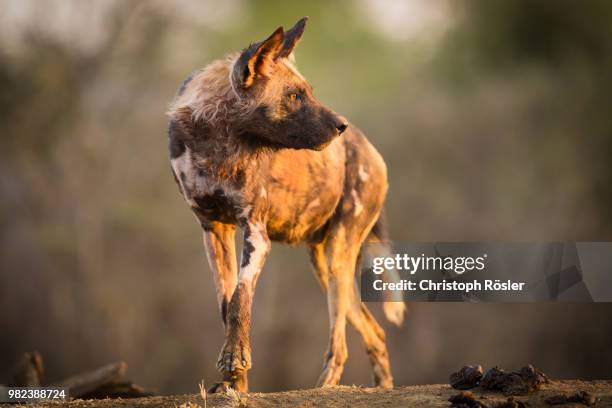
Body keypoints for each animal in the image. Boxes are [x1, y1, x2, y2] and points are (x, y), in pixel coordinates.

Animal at [167, 16, 406, 392]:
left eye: (308, 92)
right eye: (294, 96)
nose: (341, 125)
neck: (218, 144)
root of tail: (372, 150)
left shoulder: (256, 235)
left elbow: (239, 301)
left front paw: (235, 363)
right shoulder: (214, 232)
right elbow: (226, 306)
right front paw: (234, 383)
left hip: (337, 257)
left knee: (340, 340)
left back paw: (326, 385)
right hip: (324, 264)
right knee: (375, 332)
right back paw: (381, 388)